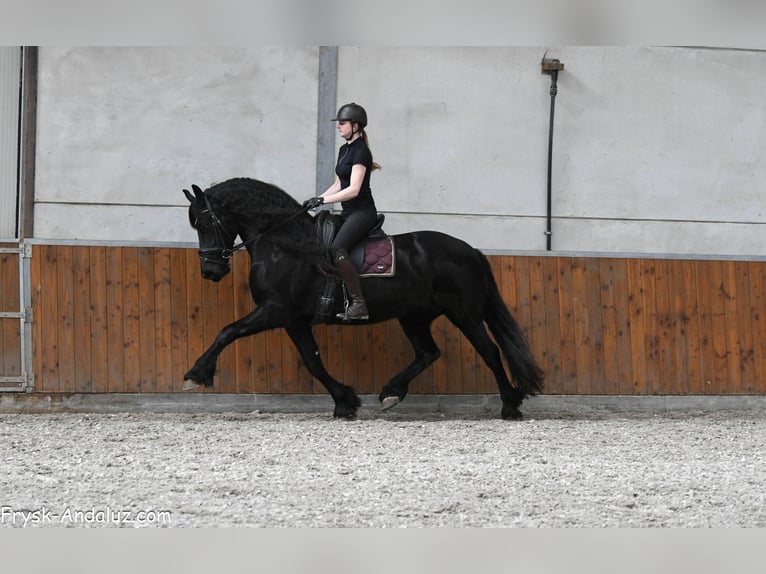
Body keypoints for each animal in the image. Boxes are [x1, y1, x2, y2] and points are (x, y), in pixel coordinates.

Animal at [182, 177, 544, 419]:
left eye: (204, 223)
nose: (210, 271)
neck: (284, 246)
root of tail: (471, 250)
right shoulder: (294, 320)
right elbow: (313, 361)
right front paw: (345, 401)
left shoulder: (275, 311)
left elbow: (227, 331)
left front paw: (196, 374)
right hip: (414, 316)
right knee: (428, 353)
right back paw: (391, 393)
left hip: (465, 315)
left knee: (490, 353)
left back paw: (510, 406)